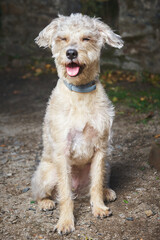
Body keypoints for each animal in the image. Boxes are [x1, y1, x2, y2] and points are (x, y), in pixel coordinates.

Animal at [31, 12, 124, 234]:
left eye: (86, 38)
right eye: (62, 38)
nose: (71, 53)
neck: (80, 94)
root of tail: (79, 191)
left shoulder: (100, 149)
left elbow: (96, 184)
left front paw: (99, 207)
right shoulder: (62, 152)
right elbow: (64, 194)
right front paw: (65, 221)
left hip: (107, 164)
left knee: (94, 187)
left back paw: (106, 192)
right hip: (47, 174)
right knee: (42, 193)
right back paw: (46, 202)